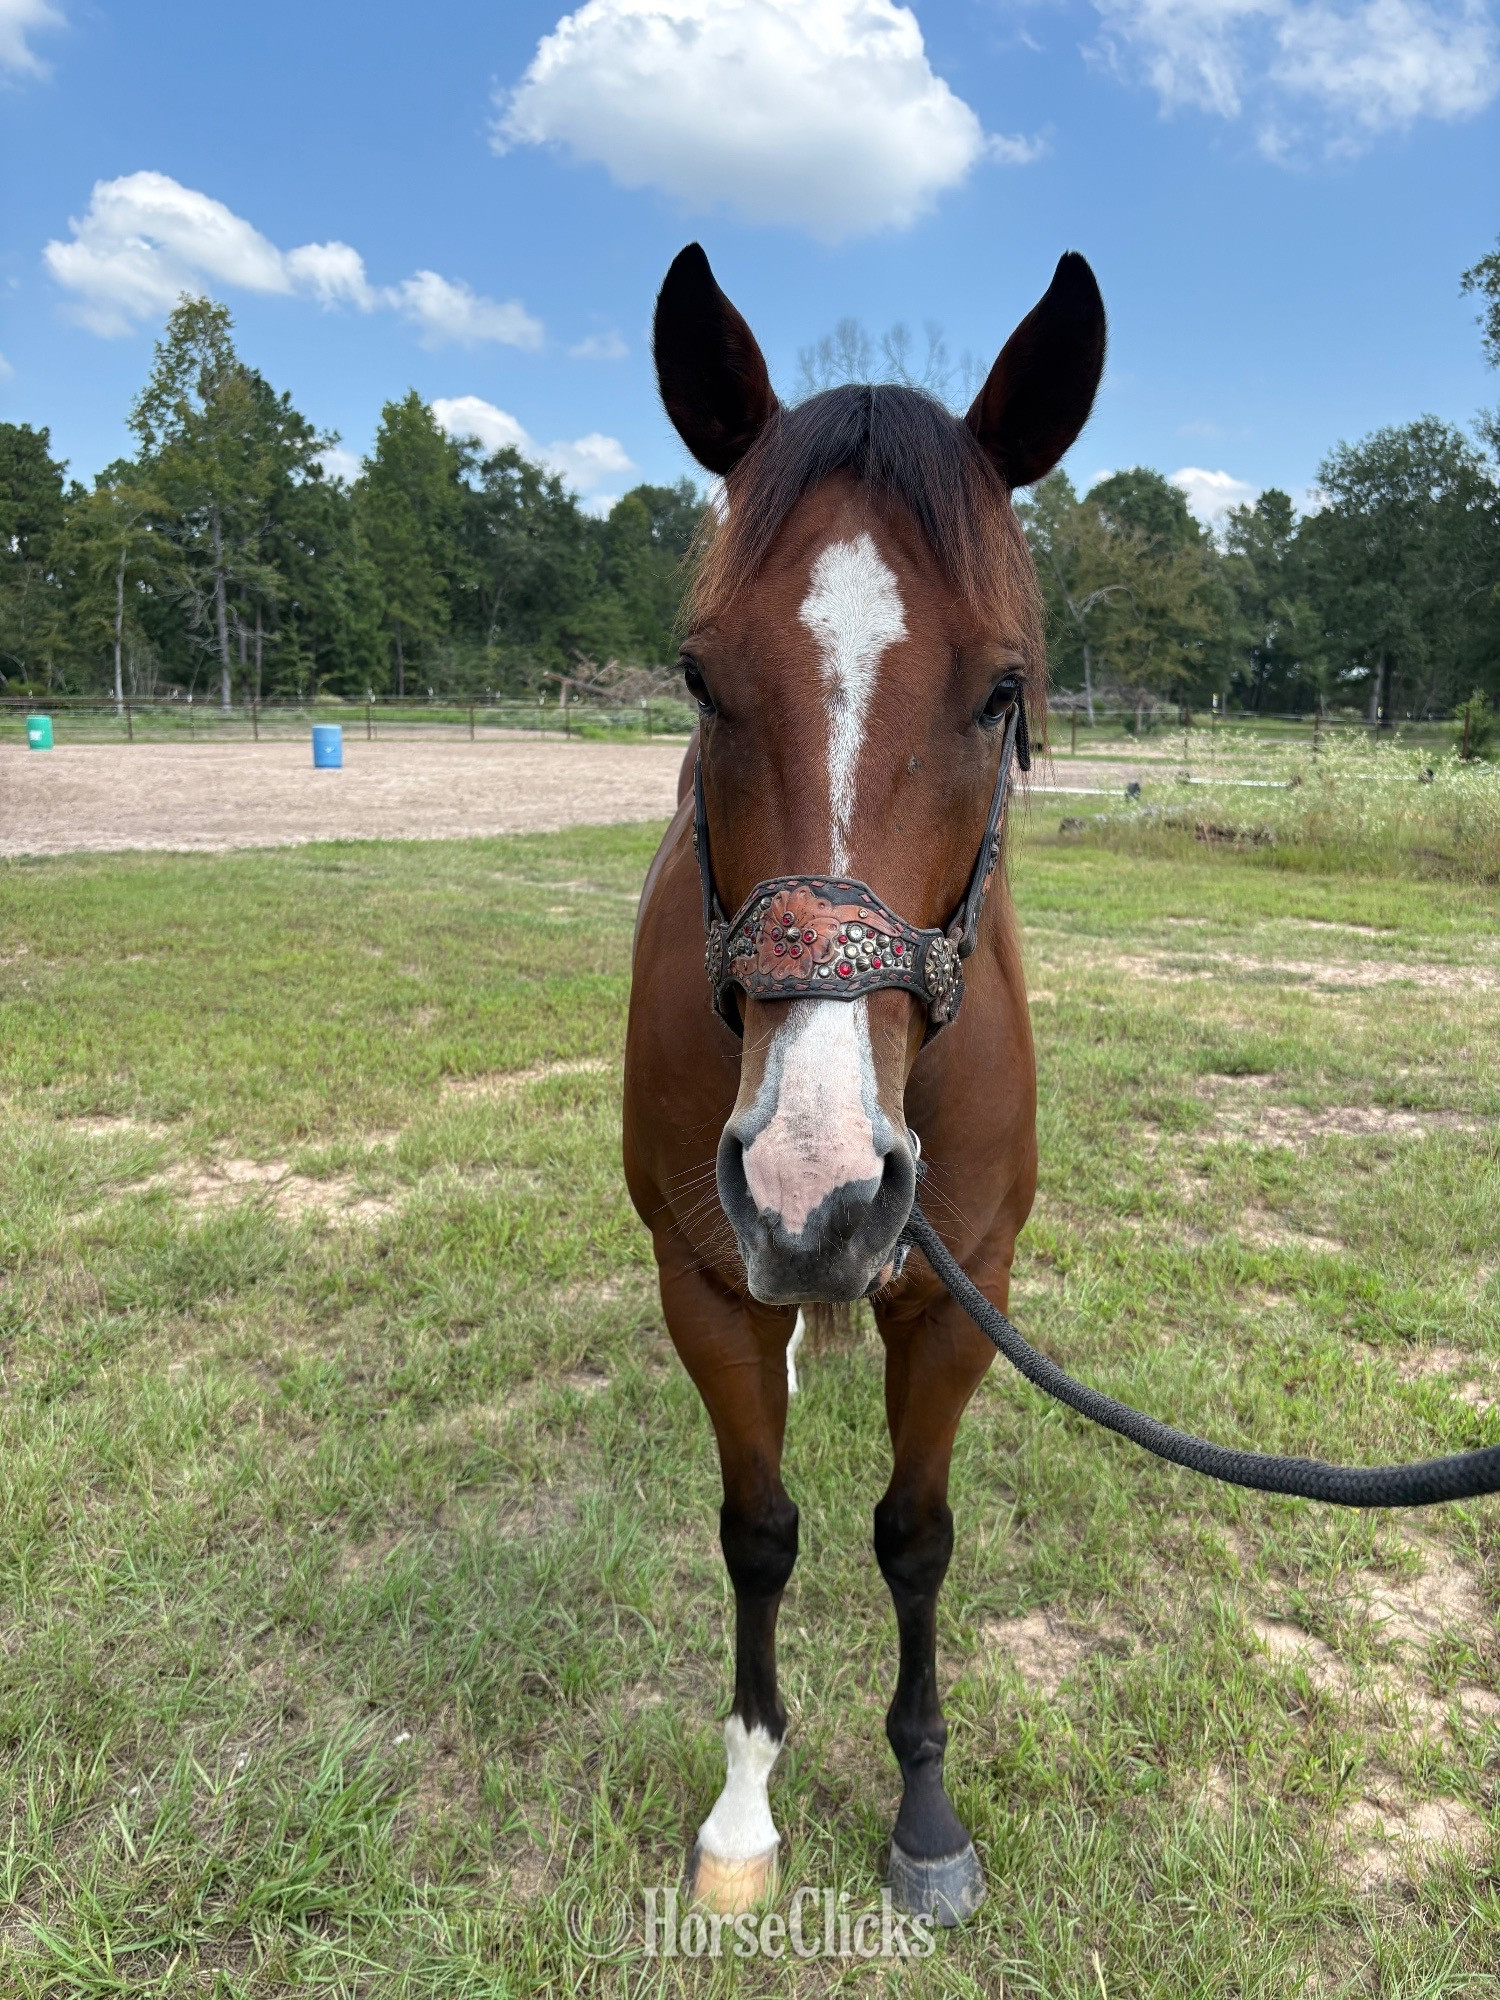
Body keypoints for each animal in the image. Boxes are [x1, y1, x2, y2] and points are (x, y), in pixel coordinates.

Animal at [622, 242, 1106, 1926]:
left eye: (1002, 691)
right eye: (700, 678)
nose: (814, 1191)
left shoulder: (967, 1297)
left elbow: (915, 1538)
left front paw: (925, 1815)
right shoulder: (703, 1281)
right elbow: (759, 1532)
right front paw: (745, 1812)